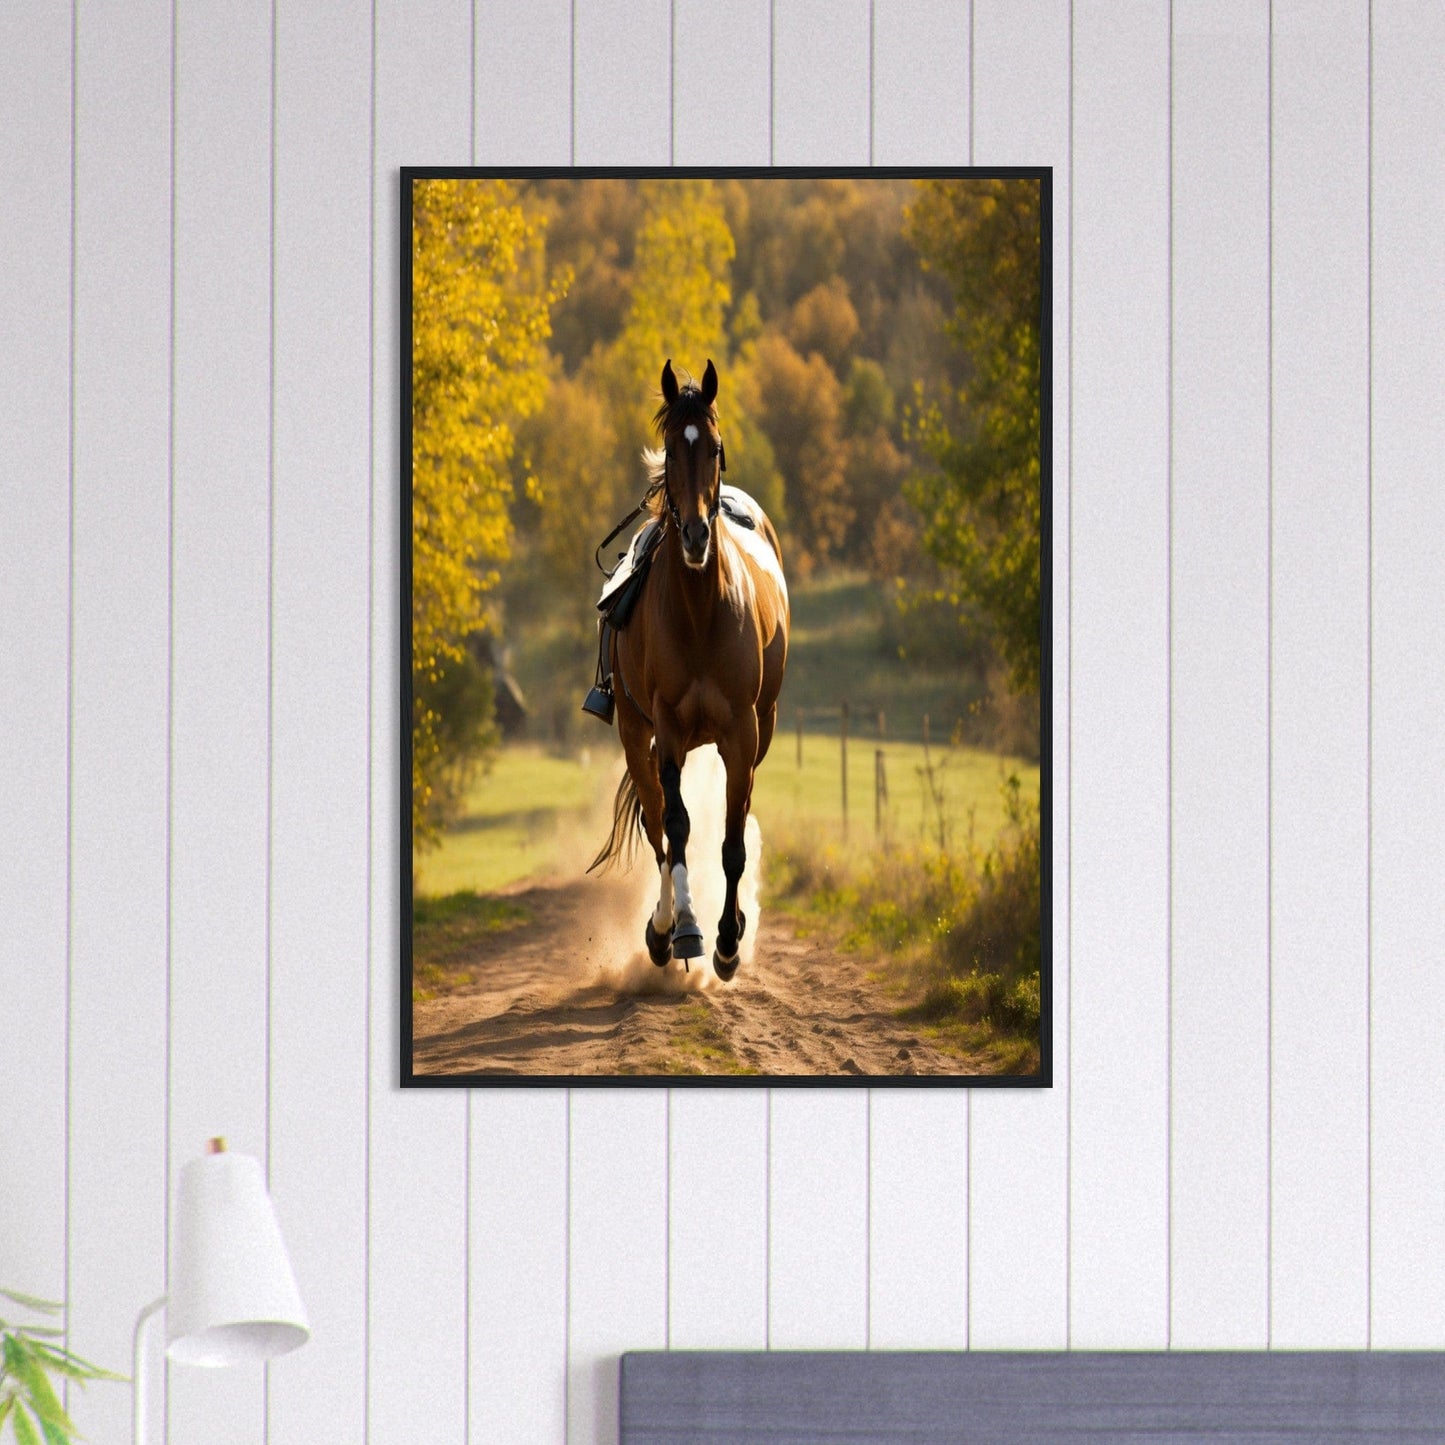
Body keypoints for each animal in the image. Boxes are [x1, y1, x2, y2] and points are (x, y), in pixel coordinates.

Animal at [589, 358, 789, 982]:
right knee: (657, 824)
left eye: (716, 448)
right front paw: (688, 930)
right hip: (636, 733)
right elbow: (675, 827)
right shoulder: (669, 731)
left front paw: (728, 942)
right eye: (672, 449)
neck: (702, 612)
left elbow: (732, 840)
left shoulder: (743, 733)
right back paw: (660, 929)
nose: (697, 534)